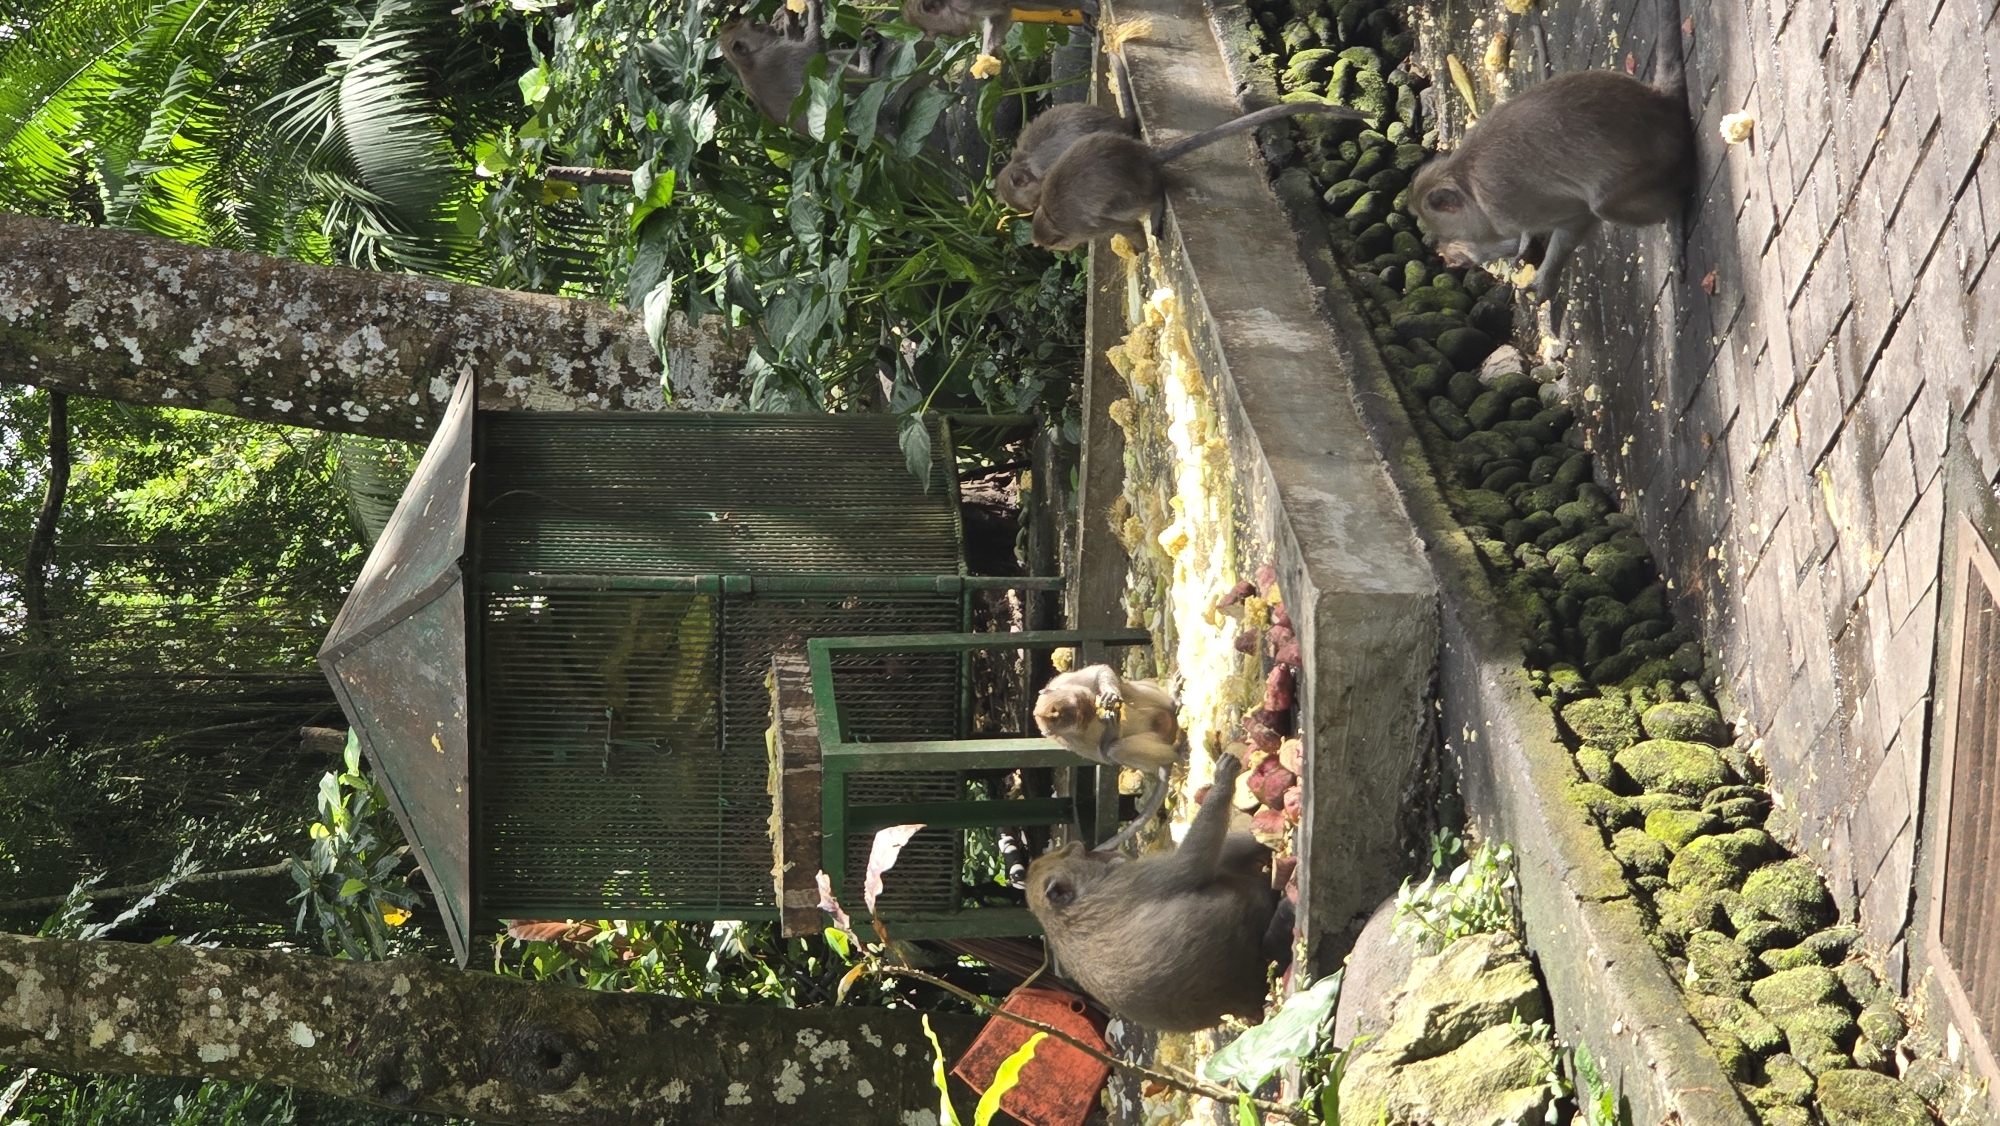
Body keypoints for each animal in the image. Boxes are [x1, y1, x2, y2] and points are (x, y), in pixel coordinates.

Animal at [1025, 753, 1288, 1031]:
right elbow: (1191, 866)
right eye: (1082, 852)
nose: (1105, 851)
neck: (1059, 918)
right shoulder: (1129, 881)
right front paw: (1222, 782)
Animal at [1030, 100, 1369, 250]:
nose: (1058, 250)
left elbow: (1128, 227)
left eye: (1055, 246)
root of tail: (1145, 156)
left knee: (1150, 197)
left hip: (1129, 190)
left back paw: (1155, 212)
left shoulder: (1089, 225)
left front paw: (1139, 251)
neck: (1052, 217)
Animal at [1408, 0, 1691, 301]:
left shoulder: (1504, 205)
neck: (1466, 181)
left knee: (1604, 204)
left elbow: (1579, 214)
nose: (1450, 250)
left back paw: (1675, 212)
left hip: (1656, 163)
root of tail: (1660, 103)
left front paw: (1544, 278)